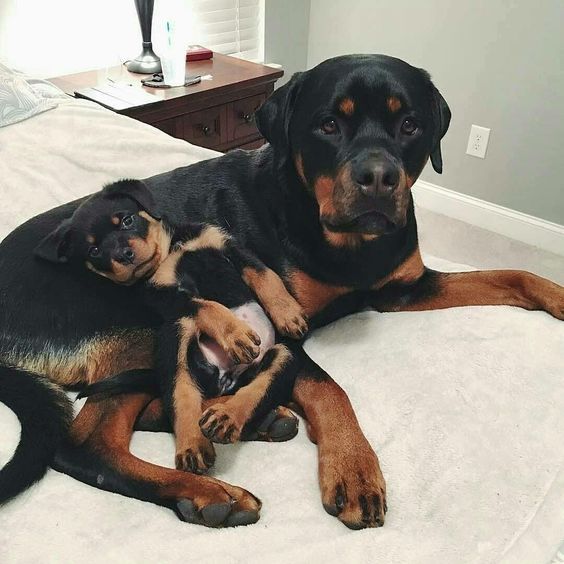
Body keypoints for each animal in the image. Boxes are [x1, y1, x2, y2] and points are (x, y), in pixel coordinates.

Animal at [36, 178, 308, 474]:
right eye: (94, 250)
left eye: (127, 220)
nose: (124, 255)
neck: (170, 251)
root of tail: (223, 376)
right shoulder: (163, 295)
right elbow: (205, 305)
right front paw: (236, 335)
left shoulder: (226, 245)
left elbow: (265, 275)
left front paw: (288, 313)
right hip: (176, 334)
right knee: (182, 396)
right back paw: (193, 445)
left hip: (284, 356)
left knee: (256, 389)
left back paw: (225, 418)